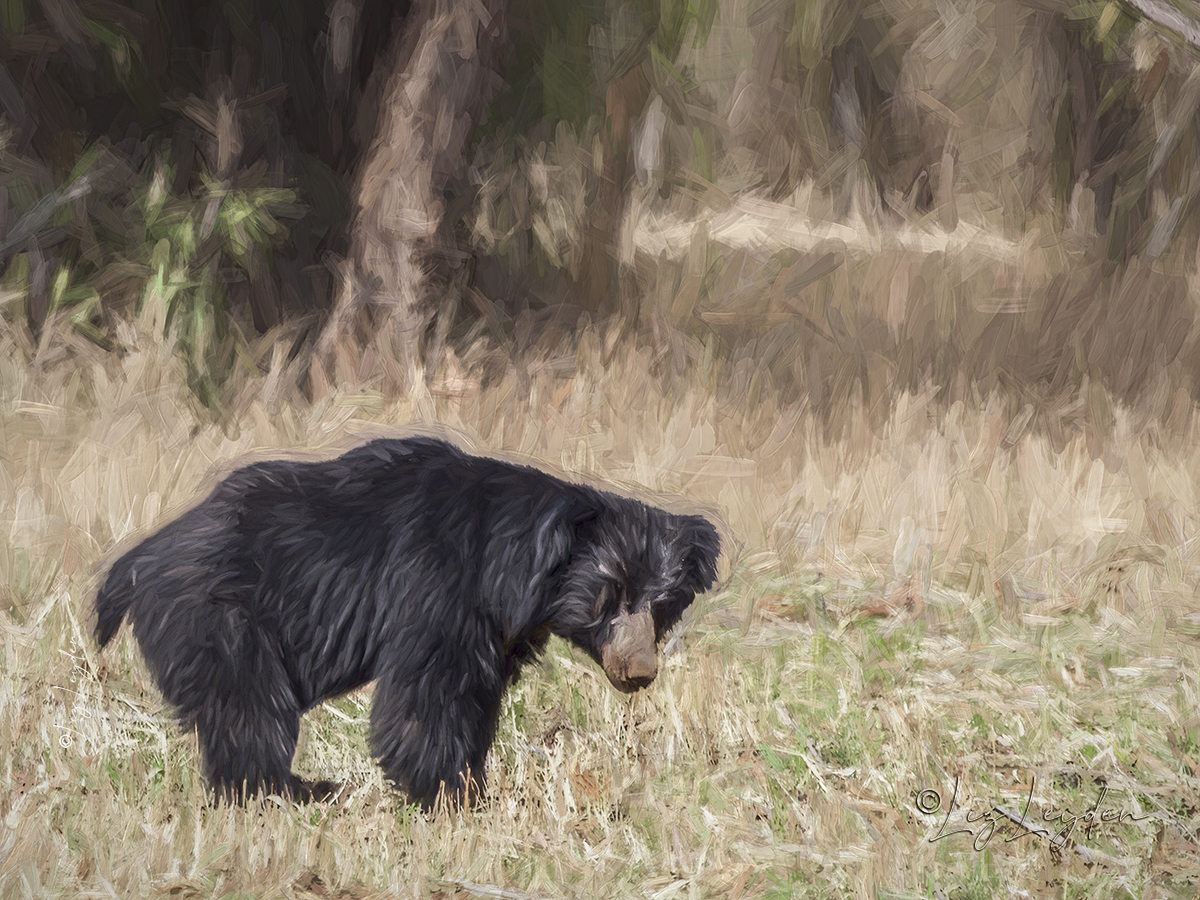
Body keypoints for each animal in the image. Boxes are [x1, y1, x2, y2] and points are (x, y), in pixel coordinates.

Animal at [96, 434, 720, 806]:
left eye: (662, 605)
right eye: (608, 594)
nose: (640, 671)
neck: (516, 562)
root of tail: (137, 559)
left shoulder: (495, 632)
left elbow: (473, 700)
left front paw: (472, 788)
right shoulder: (437, 588)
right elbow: (428, 695)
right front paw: (448, 798)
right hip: (217, 620)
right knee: (250, 708)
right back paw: (288, 791)